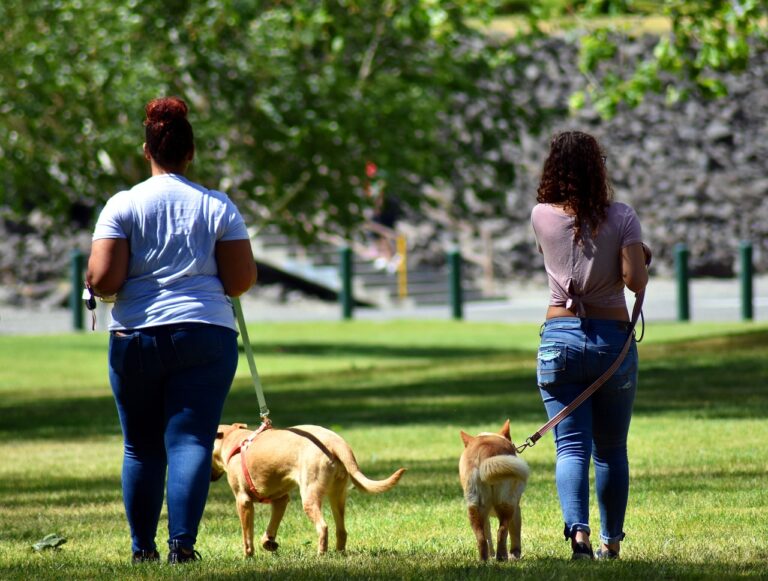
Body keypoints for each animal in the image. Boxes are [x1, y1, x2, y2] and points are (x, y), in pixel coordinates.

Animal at [210, 424, 402, 556]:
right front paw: (268, 543)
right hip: (337, 495)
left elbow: (247, 535)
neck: (233, 440)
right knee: (341, 531)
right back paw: (339, 553)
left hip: (310, 495)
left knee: (323, 527)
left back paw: (321, 554)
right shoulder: (281, 500)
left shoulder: (243, 501)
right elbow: (271, 528)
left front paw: (248, 556)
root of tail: (336, 442)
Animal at [460, 420, 532, 560]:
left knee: (481, 539)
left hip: (474, 508)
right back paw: (502, 558)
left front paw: (491, 555)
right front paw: (515, 554)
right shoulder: (517, 510)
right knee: (502, 532)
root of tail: (484, 452)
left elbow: (487, 536)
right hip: (507, 504)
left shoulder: (485, 516)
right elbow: (515, 534)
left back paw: (484, 560)